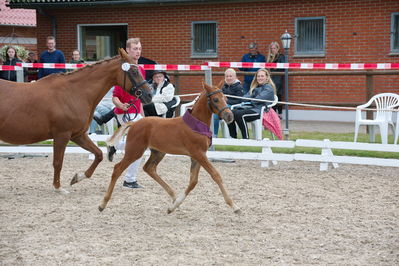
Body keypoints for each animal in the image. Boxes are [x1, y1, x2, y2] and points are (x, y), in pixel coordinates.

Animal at [0, 48, 152, 193]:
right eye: (134, 71)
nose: (149, 94)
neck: (73, 93)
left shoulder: (78, 135)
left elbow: (98, 154)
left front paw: (77, 178)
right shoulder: (62, 135)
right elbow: (58, 162)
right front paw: (58, 188)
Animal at [100, 83, 242, 214]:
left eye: (226, 98)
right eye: (216, 99)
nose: (230, 116)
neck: (196, 125)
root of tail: (134, 123)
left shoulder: (197, 156)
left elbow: (193, 182)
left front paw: (173, 206)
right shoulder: (198, 154)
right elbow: (215, 175)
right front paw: (234, 206)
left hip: (158, 152)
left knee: (149, 168)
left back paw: (174, 196)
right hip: (135, 151)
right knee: (118, 169)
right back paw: (103, 203)